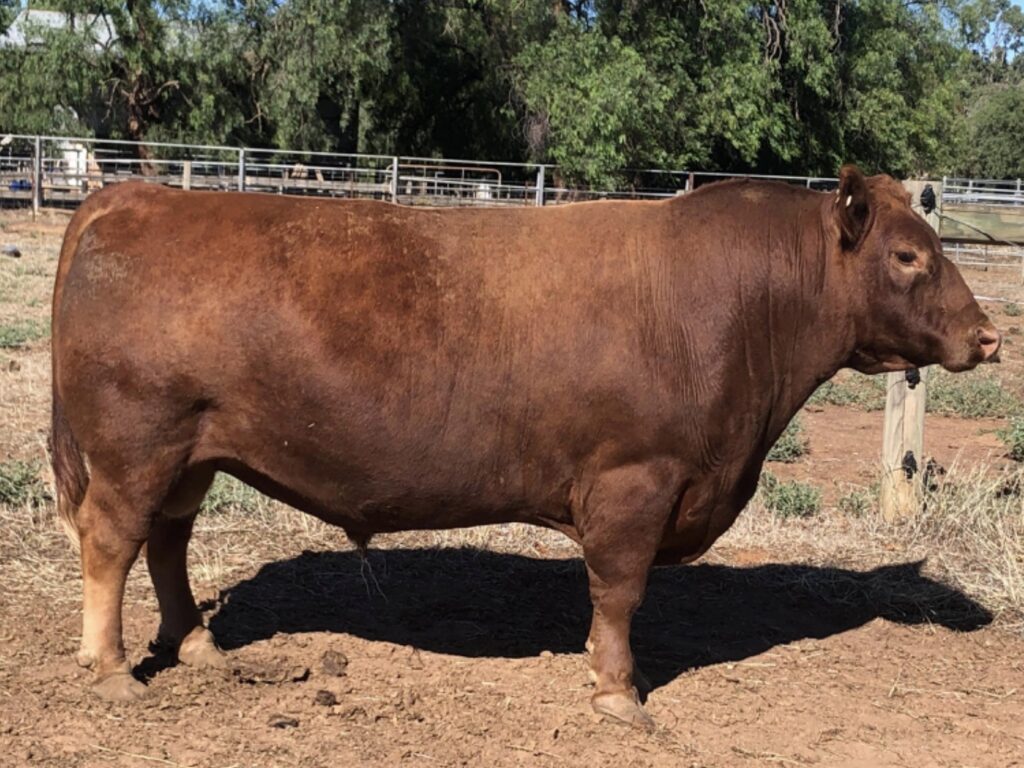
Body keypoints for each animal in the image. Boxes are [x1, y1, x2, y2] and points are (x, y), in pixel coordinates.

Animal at [50, 166, 1000, 727]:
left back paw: (197, 646)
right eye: (909, 256)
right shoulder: (633, 480)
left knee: (167, 542)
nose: (989, 336)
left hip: (193, 451)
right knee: (111, 539)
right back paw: (109, 669)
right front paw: (618, 693)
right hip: (138, 442)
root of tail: (137, 194)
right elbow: (619, 592)